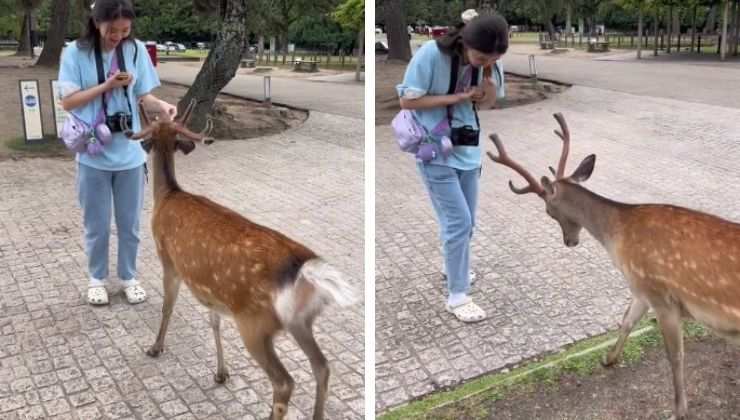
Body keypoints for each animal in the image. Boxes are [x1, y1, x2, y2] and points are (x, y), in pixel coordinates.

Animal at [125, 100, 356, 418]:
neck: (167, 195)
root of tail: (305, 270)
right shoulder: (212, 291)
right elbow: (214, 322)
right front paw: (221, 373)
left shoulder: (168, 259)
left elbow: (167, 307)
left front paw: (155, 347)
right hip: (301, 321)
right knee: (321, 366)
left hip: (255, 323)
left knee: (284, 382)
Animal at [486, 112, 740, 420]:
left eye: (548, 210)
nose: (569, 242)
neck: (618, 238)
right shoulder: (640, 289)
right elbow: (626, 321)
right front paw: (608, 359)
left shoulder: (660, 293)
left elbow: (675, 356)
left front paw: (679, 410)